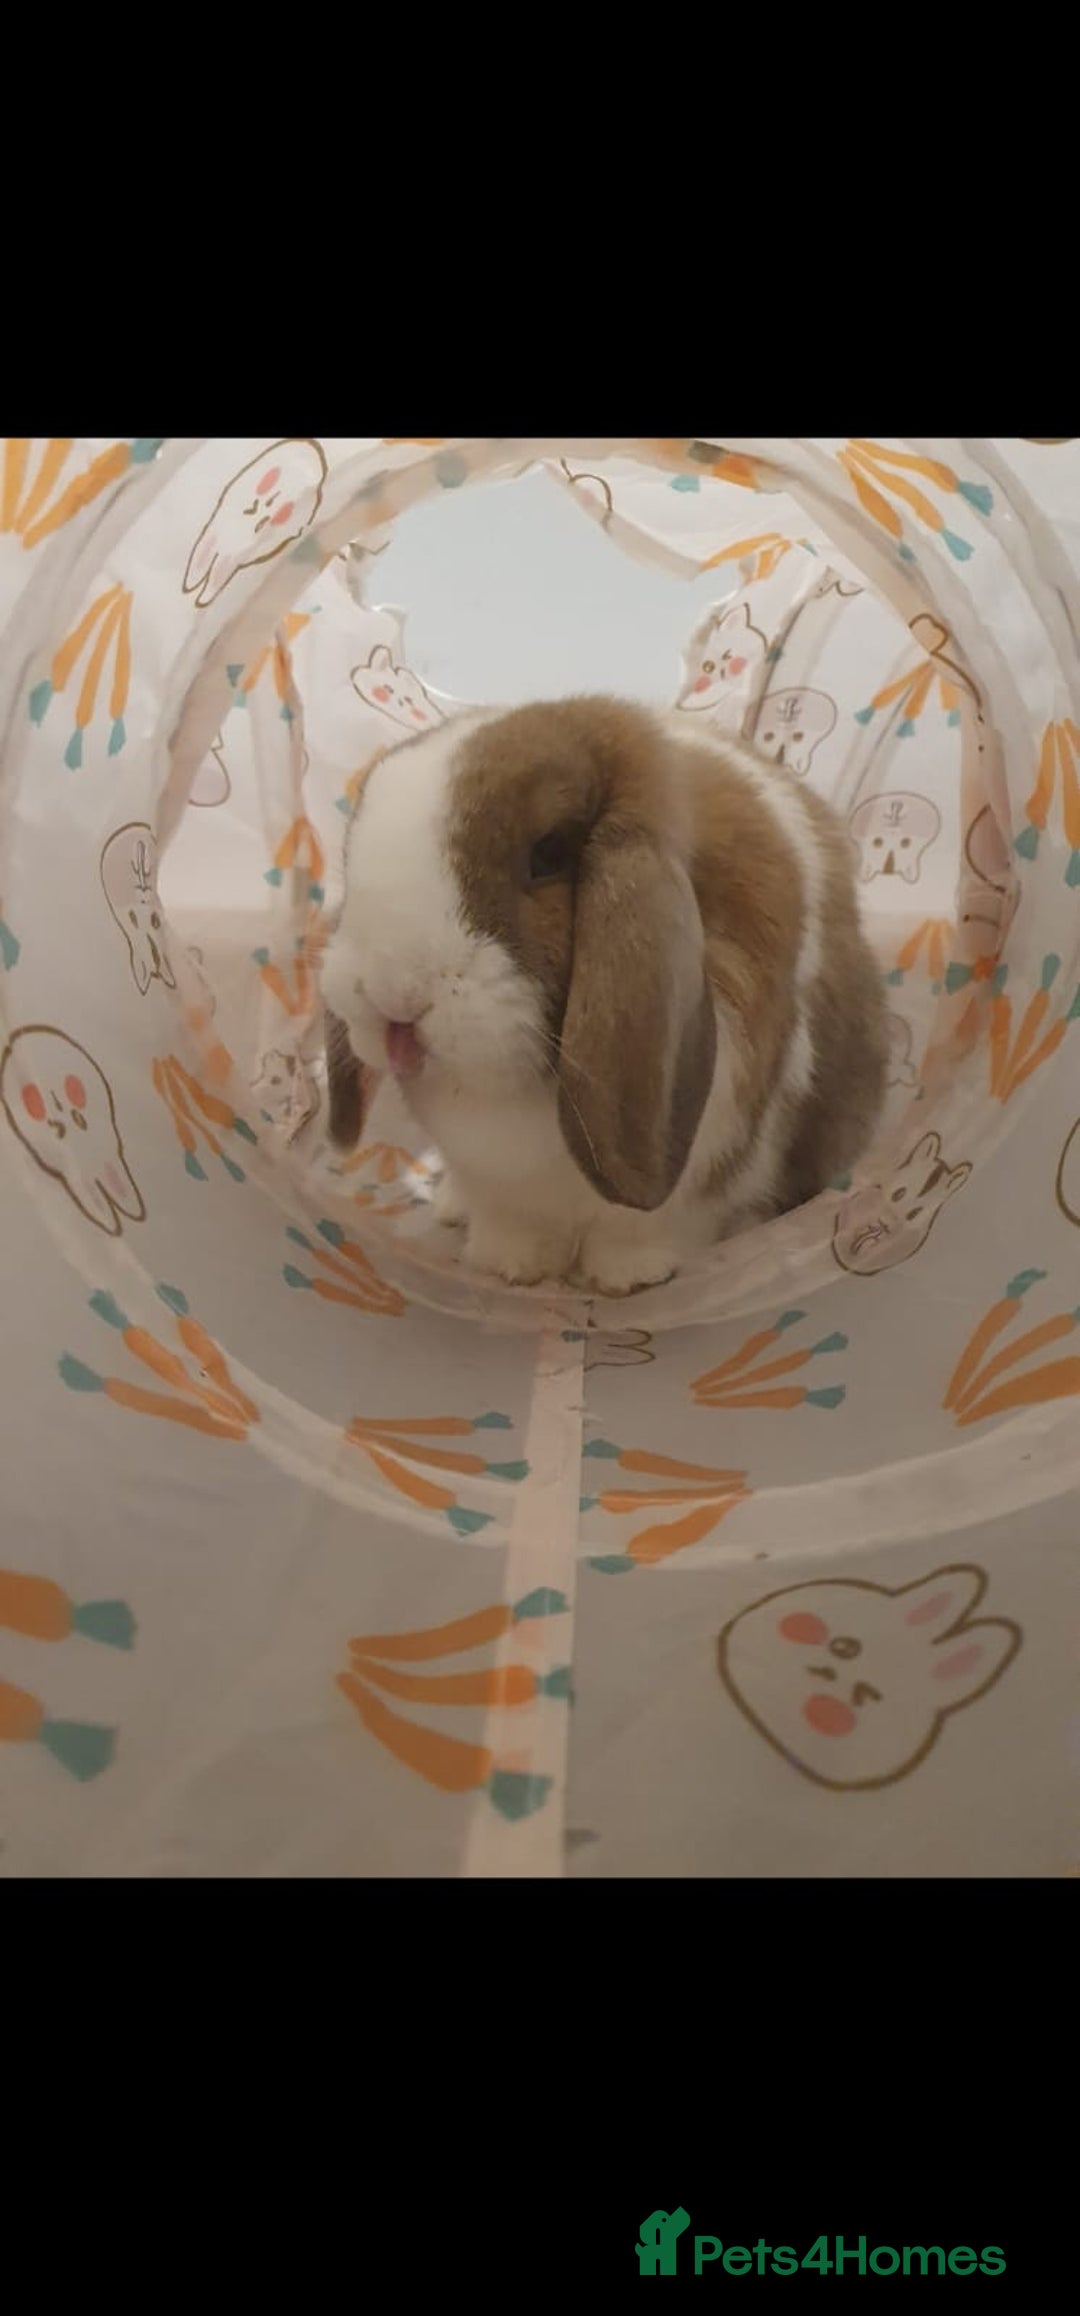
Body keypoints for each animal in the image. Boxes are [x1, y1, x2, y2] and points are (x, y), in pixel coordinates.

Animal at [320, 695, 888, 1295]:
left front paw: (625, 1281)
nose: (390, 995)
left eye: (548, 853)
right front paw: (510, 1268)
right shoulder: (500, 1190)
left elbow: (643, 1232)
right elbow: (512, 1227)